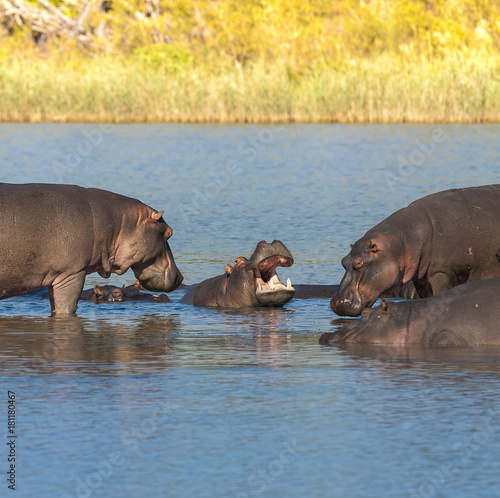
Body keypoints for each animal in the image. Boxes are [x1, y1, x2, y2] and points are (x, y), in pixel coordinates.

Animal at [332, 183, 500, 316]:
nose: (336, 302)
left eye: (358, 263)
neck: (404, 241)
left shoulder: (442, 273)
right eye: (343, 261)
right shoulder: (421, 280)